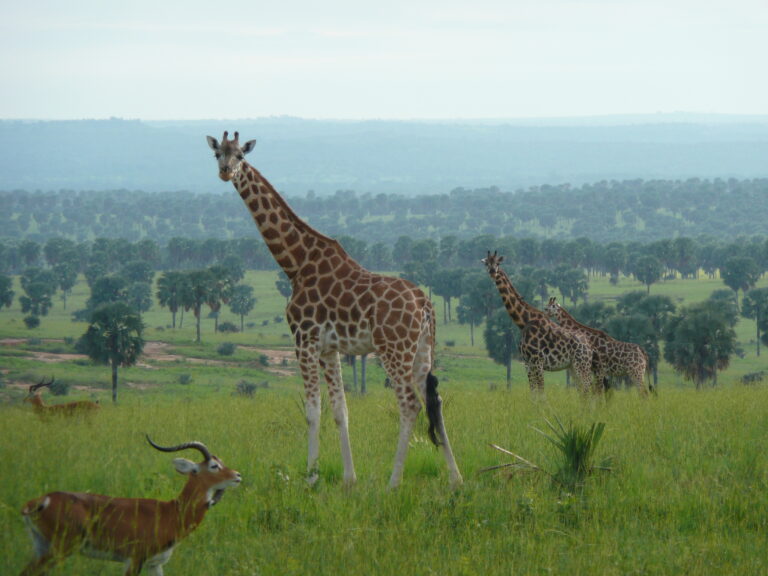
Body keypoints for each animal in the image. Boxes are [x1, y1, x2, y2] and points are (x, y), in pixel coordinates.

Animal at [19, 436, 240, 576]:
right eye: (214, 465)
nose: (237, 475)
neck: (171, 512)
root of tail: (42, 500)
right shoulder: (134, 560)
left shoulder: (155, 564)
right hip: (59, 549)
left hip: (42, 546)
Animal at [207, 133, 462, 488]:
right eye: (217, 153)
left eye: (241, 156)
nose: (225, 171)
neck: (296, 264)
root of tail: (425, 306)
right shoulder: (330, 348)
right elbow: (341, 411)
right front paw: (348, 479)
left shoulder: (304, 340)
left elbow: (313, 412)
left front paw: (311, 479)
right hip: (423, 350)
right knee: (433, 401)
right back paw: (456, 479)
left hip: (393, 349)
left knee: (410, 405)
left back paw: (392, 483)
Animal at [480, 250, 592, 394]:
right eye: (487, 263)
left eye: (498, 263)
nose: (493, 272)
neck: (523, 322)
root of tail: (589, 347)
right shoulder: (527, 363)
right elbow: (533, 392)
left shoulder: (538, 361)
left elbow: (541, 392)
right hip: (572, 366)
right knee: (584, 391)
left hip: (581, 365)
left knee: (589, 389)